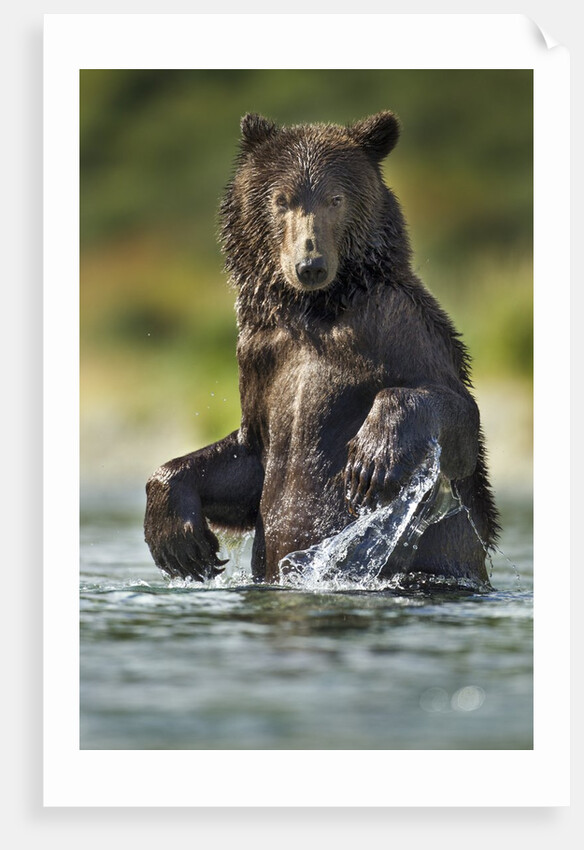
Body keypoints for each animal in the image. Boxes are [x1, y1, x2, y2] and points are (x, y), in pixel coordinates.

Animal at [144, 111, 500, 586]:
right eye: (281, 199)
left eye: (335, 197)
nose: (310, 264)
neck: (313, 311)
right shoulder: (260, 356)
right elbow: (247, 460)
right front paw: (180, 540)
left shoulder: (396, 323)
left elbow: (457, 418)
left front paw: (371, 458)